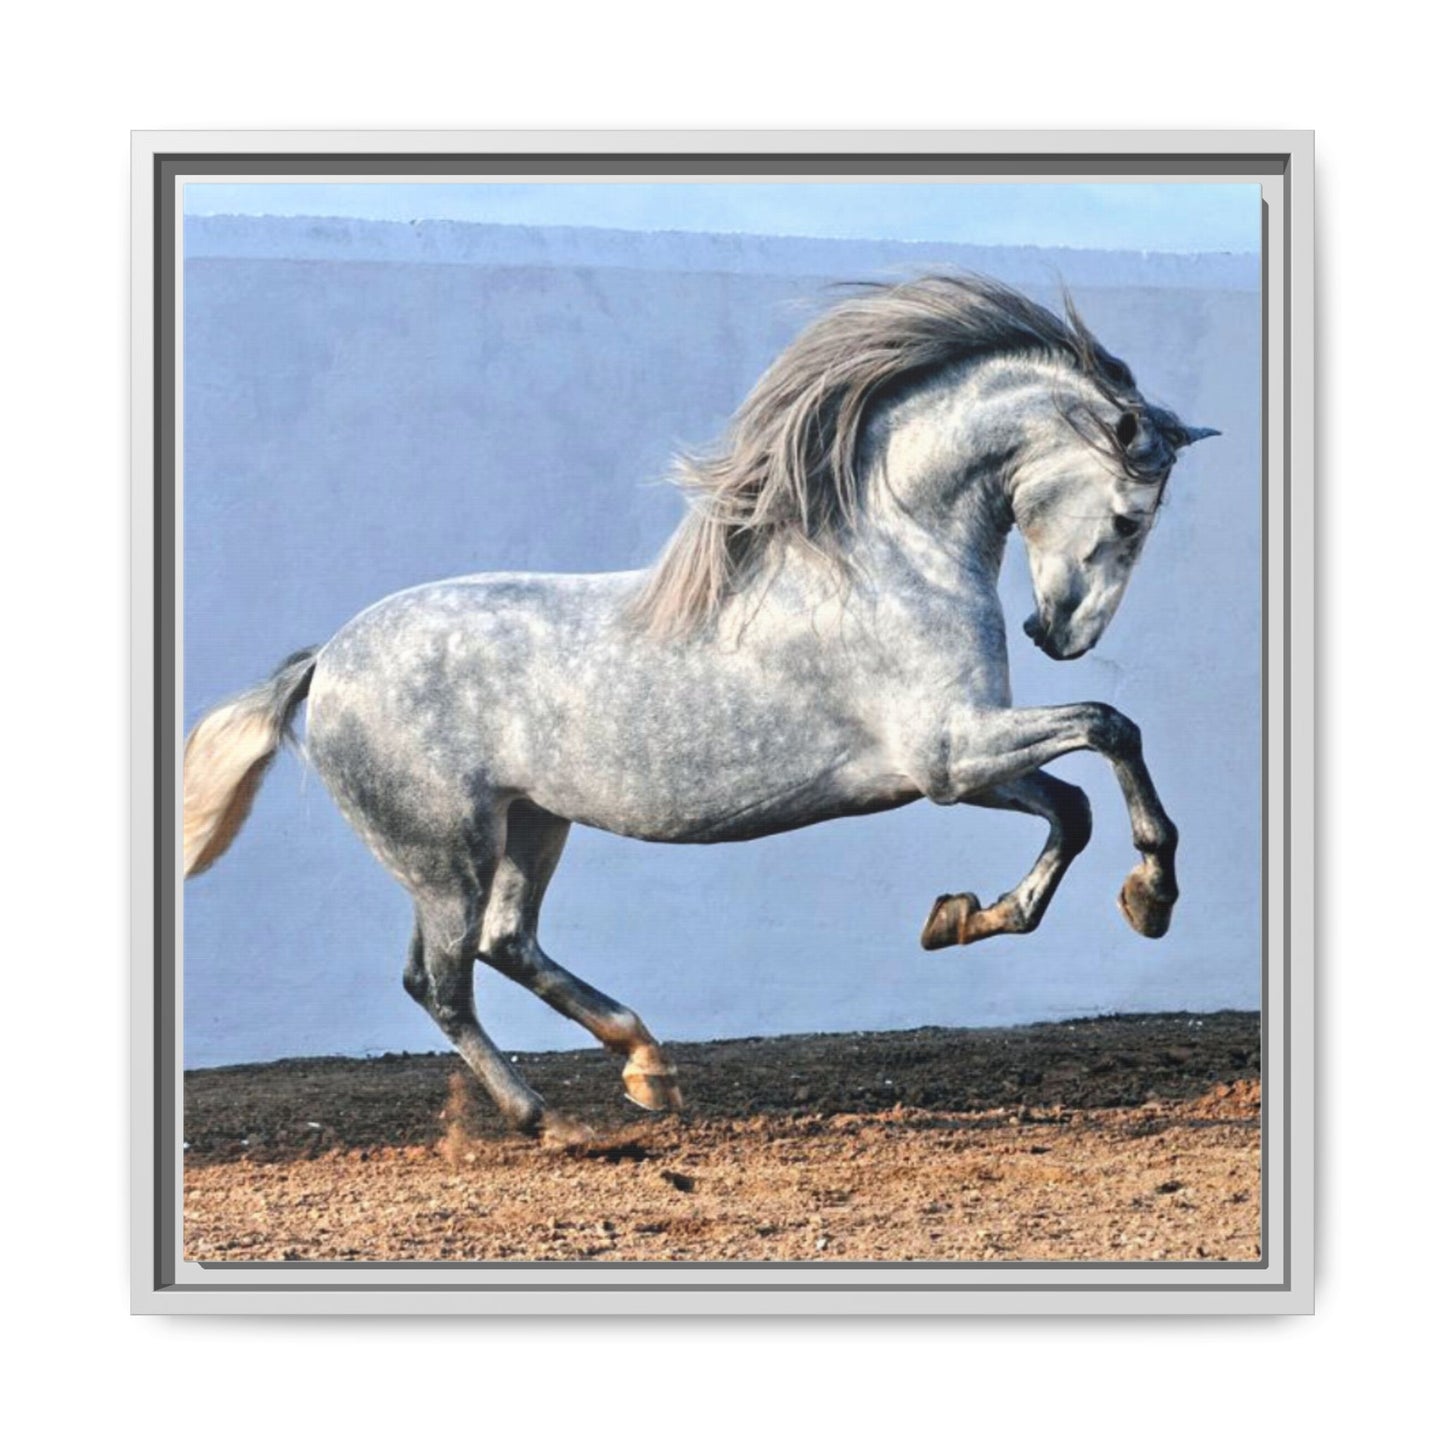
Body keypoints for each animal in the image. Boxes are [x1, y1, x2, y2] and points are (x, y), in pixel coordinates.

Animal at [182, 273, 1218, 1144]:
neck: (888, 559)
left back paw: (647, 1066)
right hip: (443, 853)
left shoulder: (947, 767)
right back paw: (546, 1118)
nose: (1058, 634)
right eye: (1128, 517)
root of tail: (325, 663)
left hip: (531, 823)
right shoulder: (948, 753)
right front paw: (1152, 896)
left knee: (506, 942)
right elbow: (1109, 727)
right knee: (440, 980)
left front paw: (966, 916)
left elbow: (1072, 805)